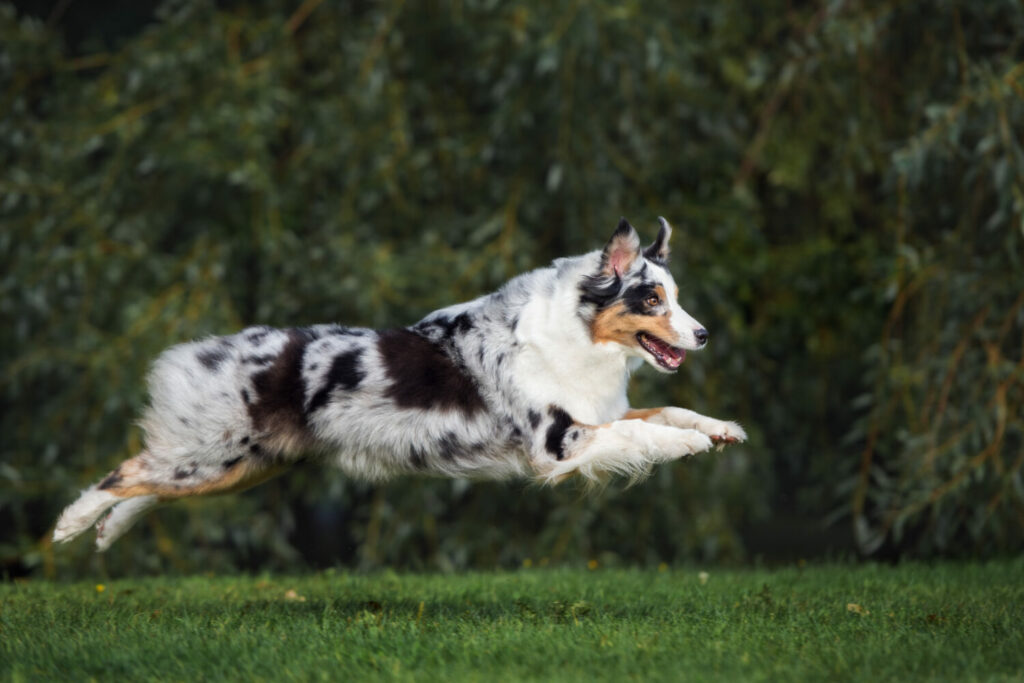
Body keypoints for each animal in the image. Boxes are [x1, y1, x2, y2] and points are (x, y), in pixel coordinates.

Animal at [54, 219, 745, 548]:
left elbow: (667, 411)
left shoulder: (596, 416)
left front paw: (720, 431)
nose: (705, 333)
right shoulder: (559, 444)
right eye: (652, 299)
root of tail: (205, 351)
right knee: (125, 472)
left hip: (243, 464)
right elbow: (645, 439)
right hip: (217, 454)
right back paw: (70, 524)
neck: (578, 338)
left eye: (675, 296)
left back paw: (108, 531)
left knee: (150, 481)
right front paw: (687, 448)